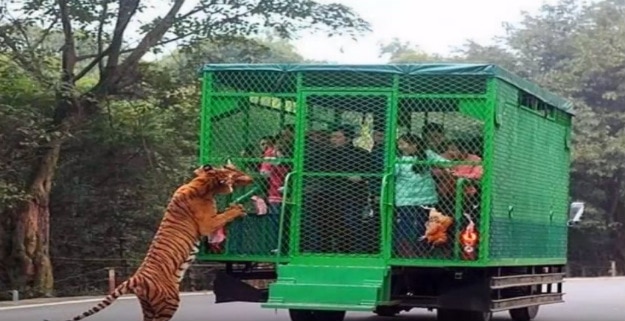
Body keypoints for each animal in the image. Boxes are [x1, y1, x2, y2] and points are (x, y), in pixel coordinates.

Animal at [45, 162, 254, 320]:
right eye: (234, 174)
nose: (249, 177)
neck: (202, 183)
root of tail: (136, 278)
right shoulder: (207, 223)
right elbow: (224, 216)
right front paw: (238, 209)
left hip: (149, 306)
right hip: (169, 302)